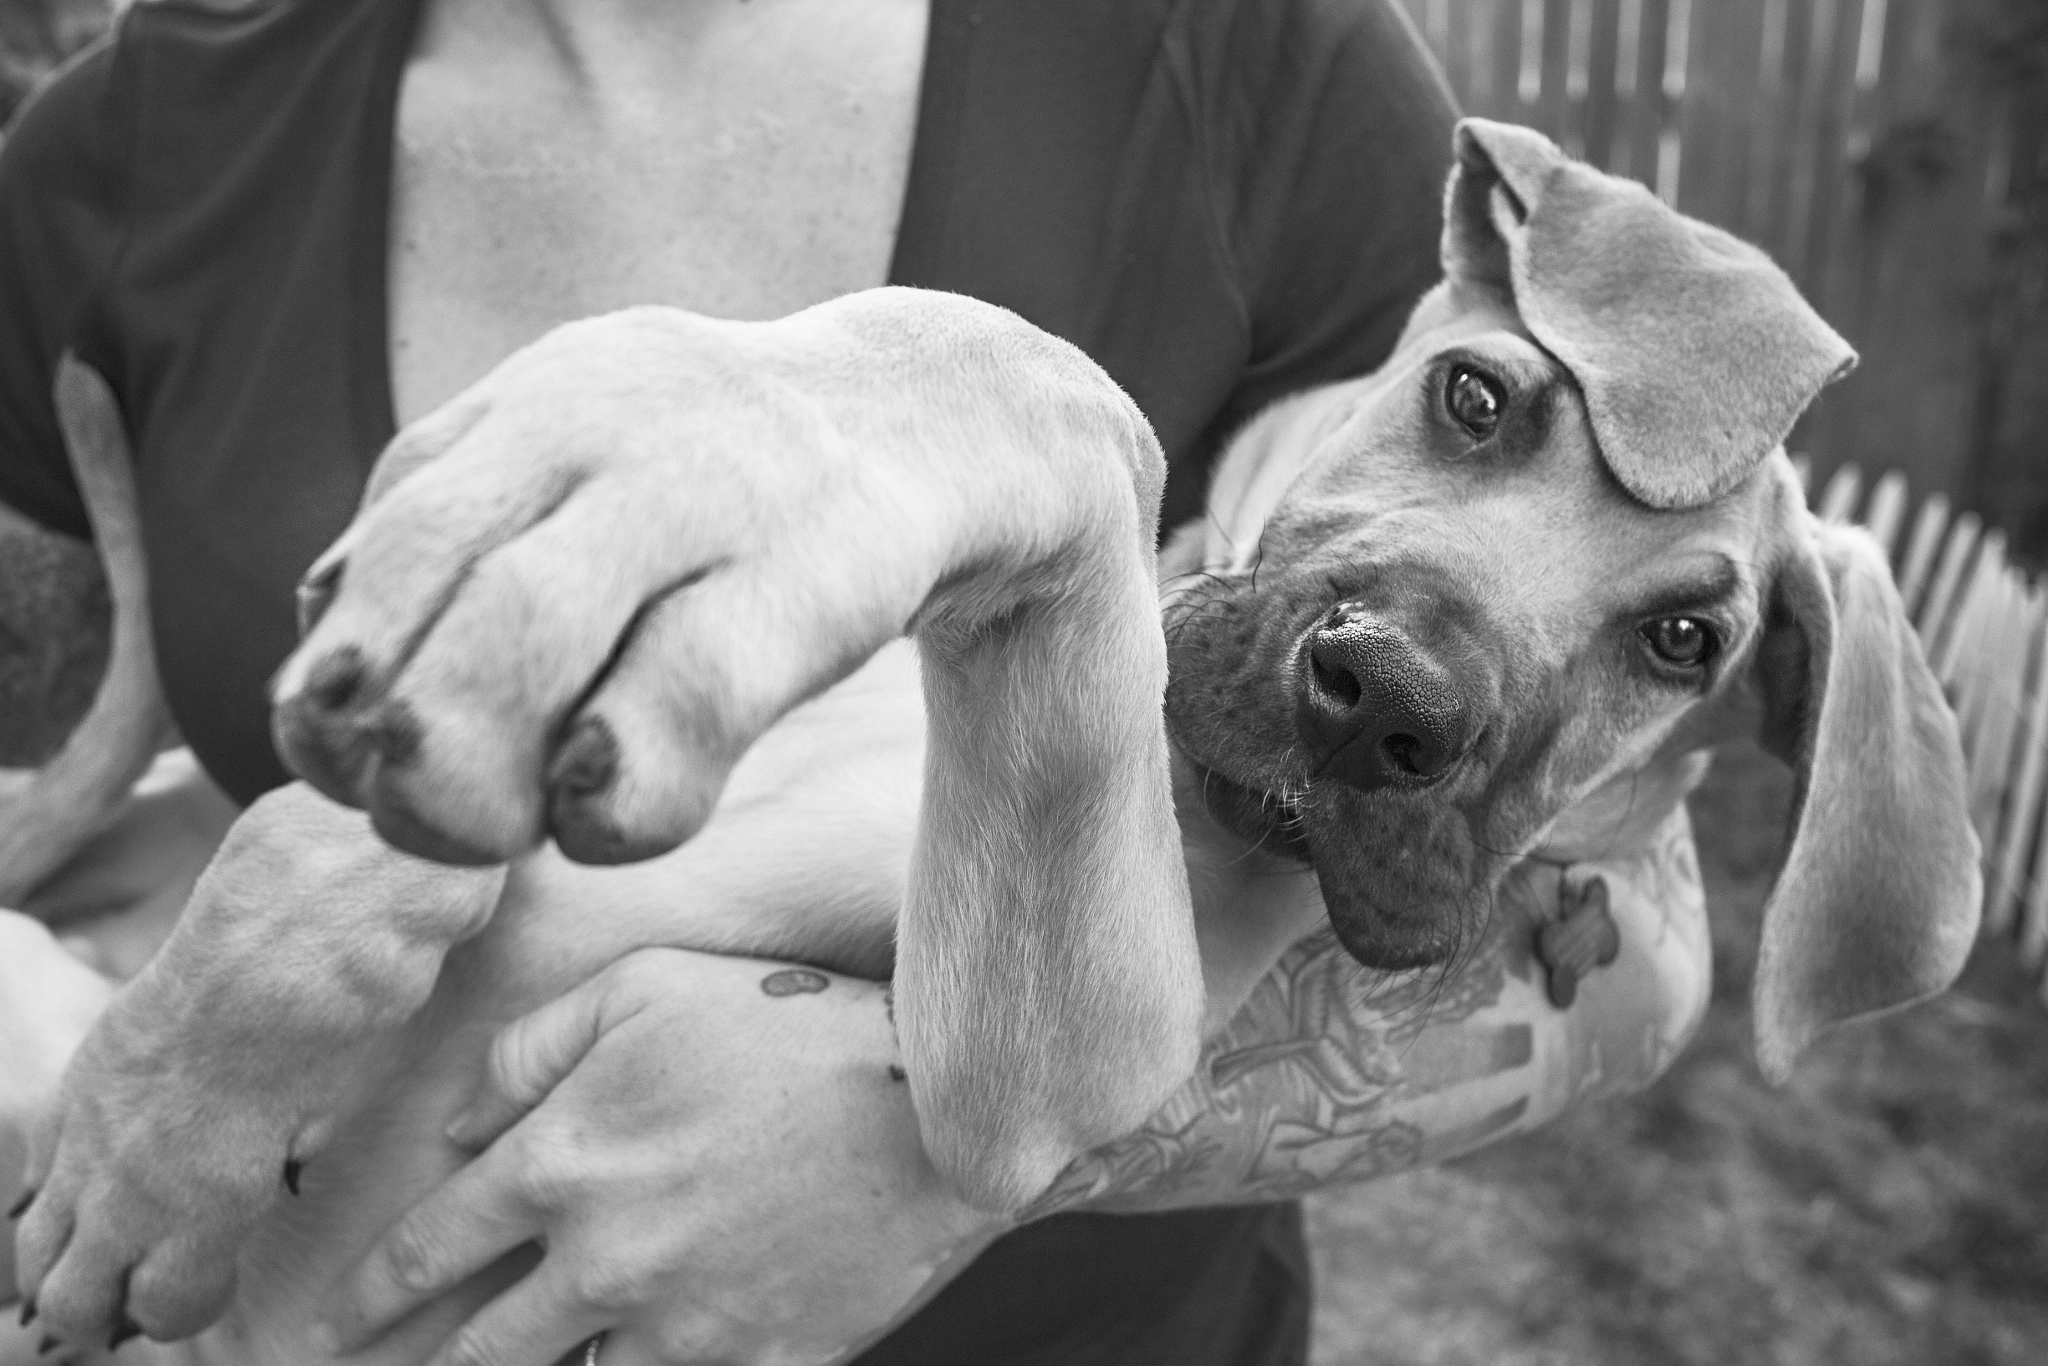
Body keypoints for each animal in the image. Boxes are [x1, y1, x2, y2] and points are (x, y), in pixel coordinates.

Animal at [4, 122, 1982, 1359]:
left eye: (1684, 642)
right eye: (1475, 396)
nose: (1384, 698)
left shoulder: (1052, 1067)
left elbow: (1063, 405)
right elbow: (331, 836)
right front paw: (167, 1130)